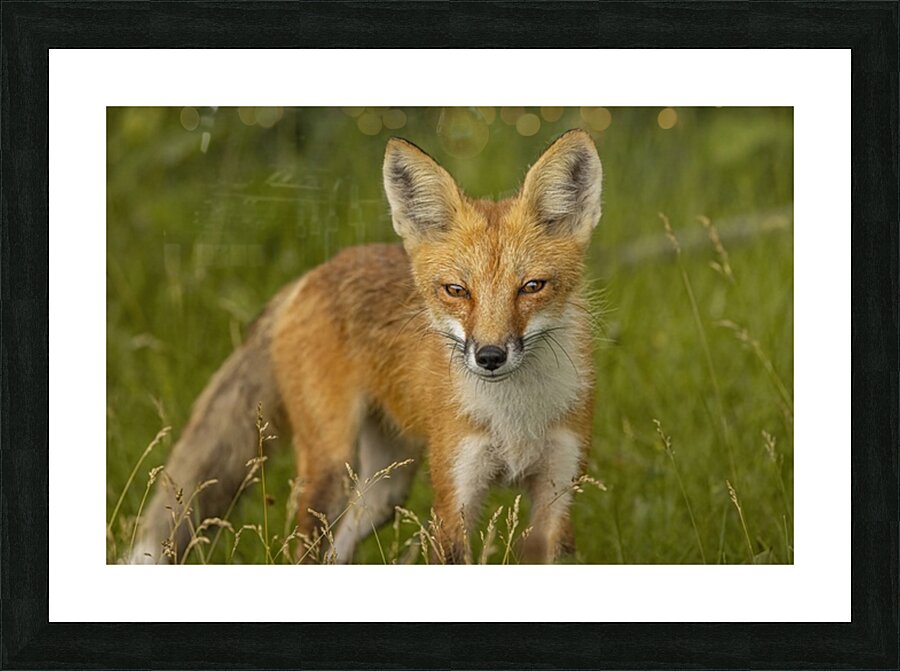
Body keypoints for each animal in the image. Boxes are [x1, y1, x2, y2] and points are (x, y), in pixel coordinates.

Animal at [131, 128, 603, 564]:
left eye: (532, 287)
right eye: (456, 290)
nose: (489, 356)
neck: (516, 420)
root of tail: (311, 275)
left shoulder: (557, 496)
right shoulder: (454, 500)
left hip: (385, 490)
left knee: (343, 543)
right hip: (330, 469)